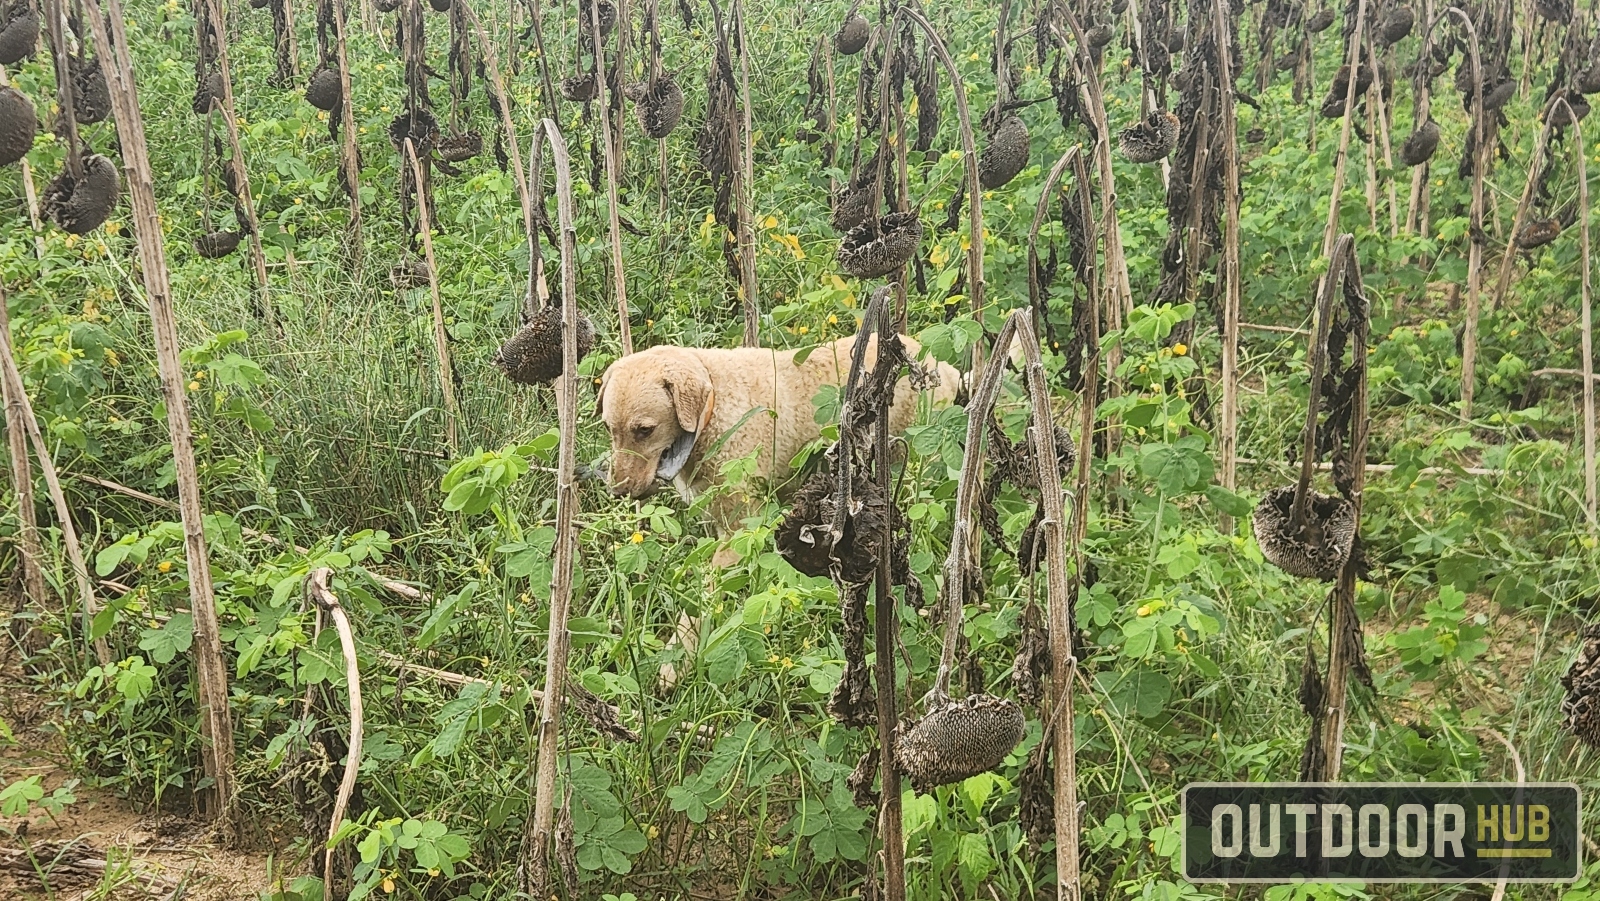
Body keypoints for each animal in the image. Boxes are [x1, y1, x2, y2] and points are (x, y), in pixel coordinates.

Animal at [595, 334, 953, 688]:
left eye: (645, 430)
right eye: (609, 428)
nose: (617, 491)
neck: (715, 405)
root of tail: (943, 367)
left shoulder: (737, 534)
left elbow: (704, 603)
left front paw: (675, 662)